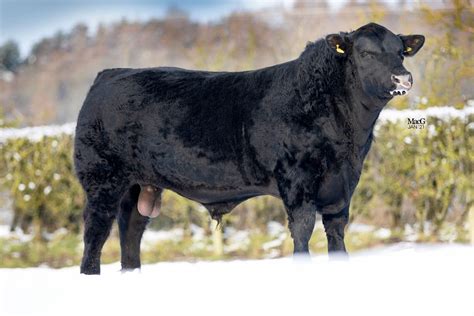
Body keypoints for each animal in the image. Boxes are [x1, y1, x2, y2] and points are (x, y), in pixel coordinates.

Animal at [75, 22, 426, 274]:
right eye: (366, 54)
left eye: (401, 52)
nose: (403, 78)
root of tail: (111, 74)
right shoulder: (297, 181)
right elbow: (302, 231)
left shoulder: (342, 186)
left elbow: (337, 235)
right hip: (101, 178)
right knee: (95, 233)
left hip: (140, 185)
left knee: (130, 231)